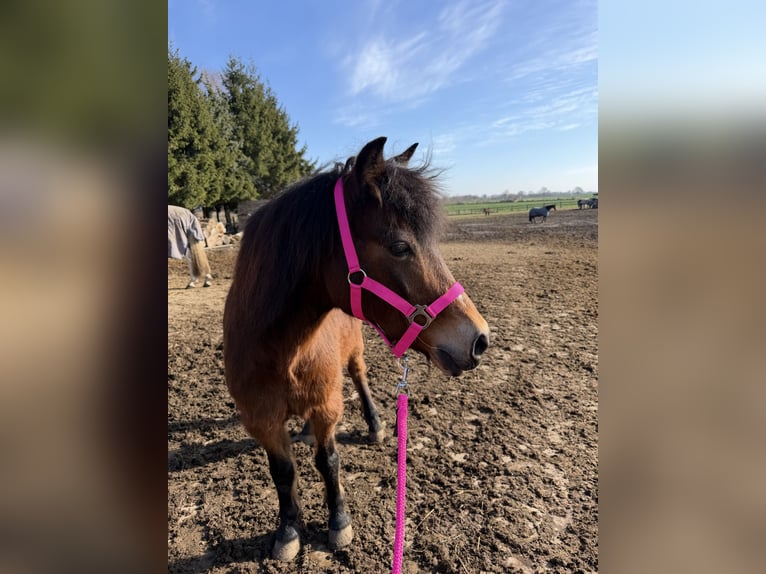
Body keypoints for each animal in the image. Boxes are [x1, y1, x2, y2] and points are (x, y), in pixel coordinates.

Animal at [222, 137, 490, 561]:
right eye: (399, 246)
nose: (479, 339)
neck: (280, 350)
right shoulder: (261, 418)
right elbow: (283, 472)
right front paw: (288, 530)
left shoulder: (328, 406)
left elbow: (327, 460)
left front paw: (338, 522)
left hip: (354, 353)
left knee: (359, 376)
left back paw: (376, 425)